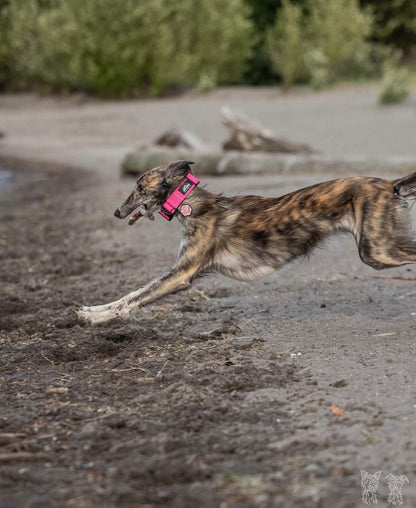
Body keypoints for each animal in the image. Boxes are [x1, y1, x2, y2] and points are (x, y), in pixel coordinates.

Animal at [77, 161, 416, 324]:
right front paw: (92, 309)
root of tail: (388, 183)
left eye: (138, 187)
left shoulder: (181, 274)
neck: (190, 204)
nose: (116, 212)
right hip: (378, 249)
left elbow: (134, 297)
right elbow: (130, 294)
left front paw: (98, 318)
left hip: (376, 251)